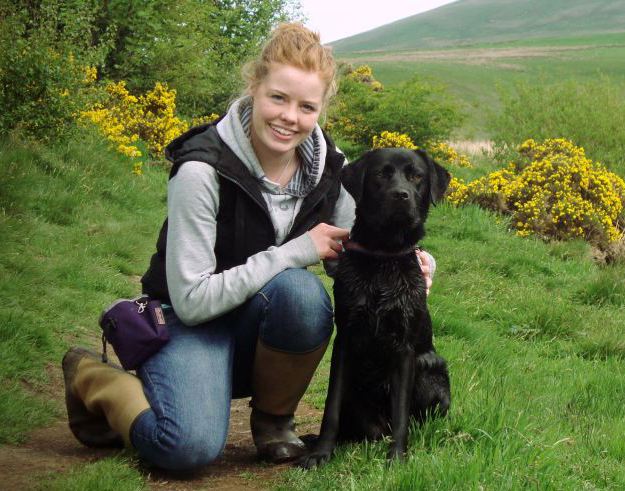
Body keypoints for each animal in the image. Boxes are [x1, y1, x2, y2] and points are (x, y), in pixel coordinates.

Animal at [300, 147, 450, 468]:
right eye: (382, 174)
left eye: (417, 176)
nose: (401, 195)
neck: (384, 256)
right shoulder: (345, 341)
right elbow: (331, 408)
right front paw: (321, 453)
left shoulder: (405, 349)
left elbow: (401, 411)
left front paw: (397, 457)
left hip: (431, 368)